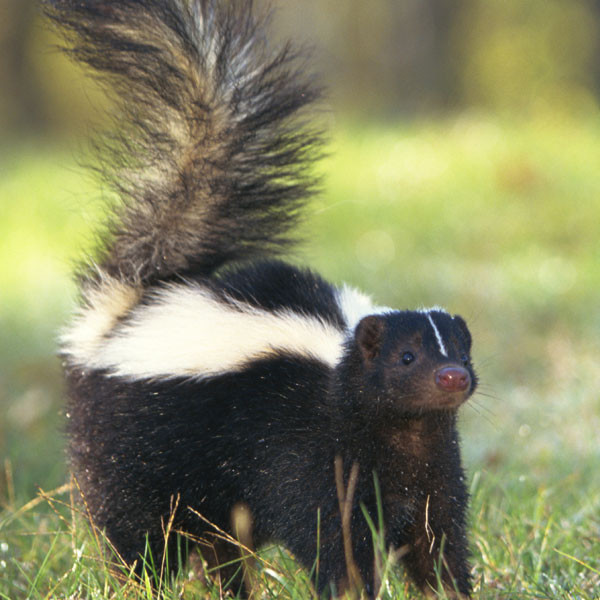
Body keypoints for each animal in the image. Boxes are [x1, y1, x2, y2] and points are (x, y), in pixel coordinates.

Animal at [45, 1, 478, 596]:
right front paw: (350, 588)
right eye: (407, 357)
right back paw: (143, 582)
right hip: (131, 446)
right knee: (141, 530)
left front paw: (448, 587)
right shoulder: (310, 452)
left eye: (461, 352)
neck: (400, 432)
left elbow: (436, 539)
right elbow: (334, 535)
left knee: (219, 542)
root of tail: (129, 305)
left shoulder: (430, 466)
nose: (453, 378)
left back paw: (231, 588)